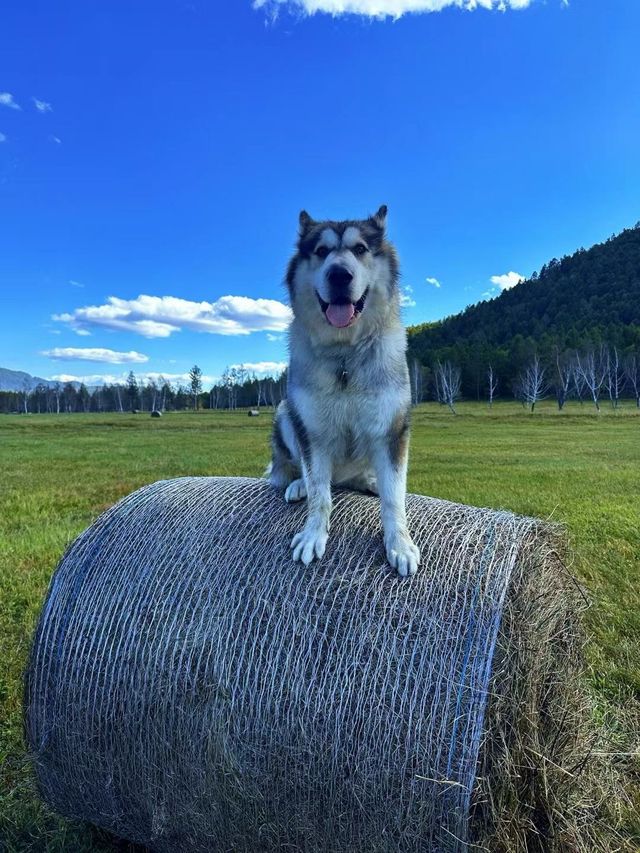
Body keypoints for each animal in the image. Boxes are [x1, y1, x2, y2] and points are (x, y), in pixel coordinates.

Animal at [264, 207, 420, 580]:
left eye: (360, 249)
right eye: (321, 251)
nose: (339, 275)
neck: (345, 354)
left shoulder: (392, 429)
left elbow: (394, 498)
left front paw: (399, 544)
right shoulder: (313, 432)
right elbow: (320, 493)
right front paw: (312, 534)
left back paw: (371, 480)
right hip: (285, 411)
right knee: (303, 472)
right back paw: (298, 485)